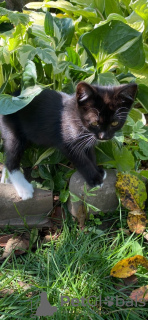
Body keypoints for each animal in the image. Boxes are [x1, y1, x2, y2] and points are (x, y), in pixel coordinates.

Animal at [0, 81, 137, 199]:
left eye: (115, 123)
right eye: (95, 122)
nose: (104, 137)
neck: (77, 118)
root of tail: (9, 96)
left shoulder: (88, 141)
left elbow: (91, 154)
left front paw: (98, 170)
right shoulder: (66, 143)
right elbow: (82, 161)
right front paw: (95, 179)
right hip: (12, 130)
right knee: (11, 157)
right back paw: (24, 188)